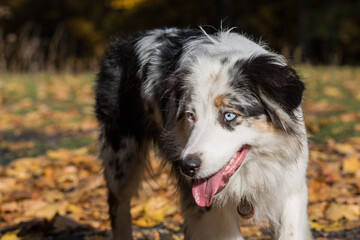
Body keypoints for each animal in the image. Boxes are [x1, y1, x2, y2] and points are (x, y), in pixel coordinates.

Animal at [95, 27, 312, 239]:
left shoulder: (292, 188)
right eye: (190, 115)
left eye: (229, 115)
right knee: (118, 205)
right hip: (121, 160)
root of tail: (123, 41)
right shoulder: (211, 210)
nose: (187, 167)